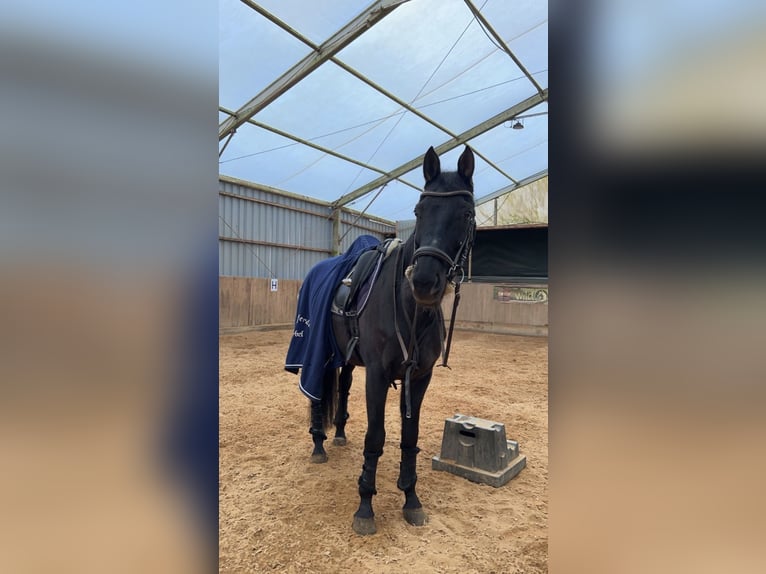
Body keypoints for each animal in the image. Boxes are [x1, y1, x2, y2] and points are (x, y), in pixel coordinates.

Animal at [298, 145, 476, 535]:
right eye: (419, 211)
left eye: (467, 213)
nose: (424, 281)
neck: (412, 310)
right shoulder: (378, 375)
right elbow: (376, 437)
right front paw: (365, 506)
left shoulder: (420, 377)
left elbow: (410, 437)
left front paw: (411, 499)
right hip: (317, 352)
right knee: (316, 392)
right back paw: (319, 443)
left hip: (346, 358)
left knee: (343, 387)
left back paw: (338, 433)